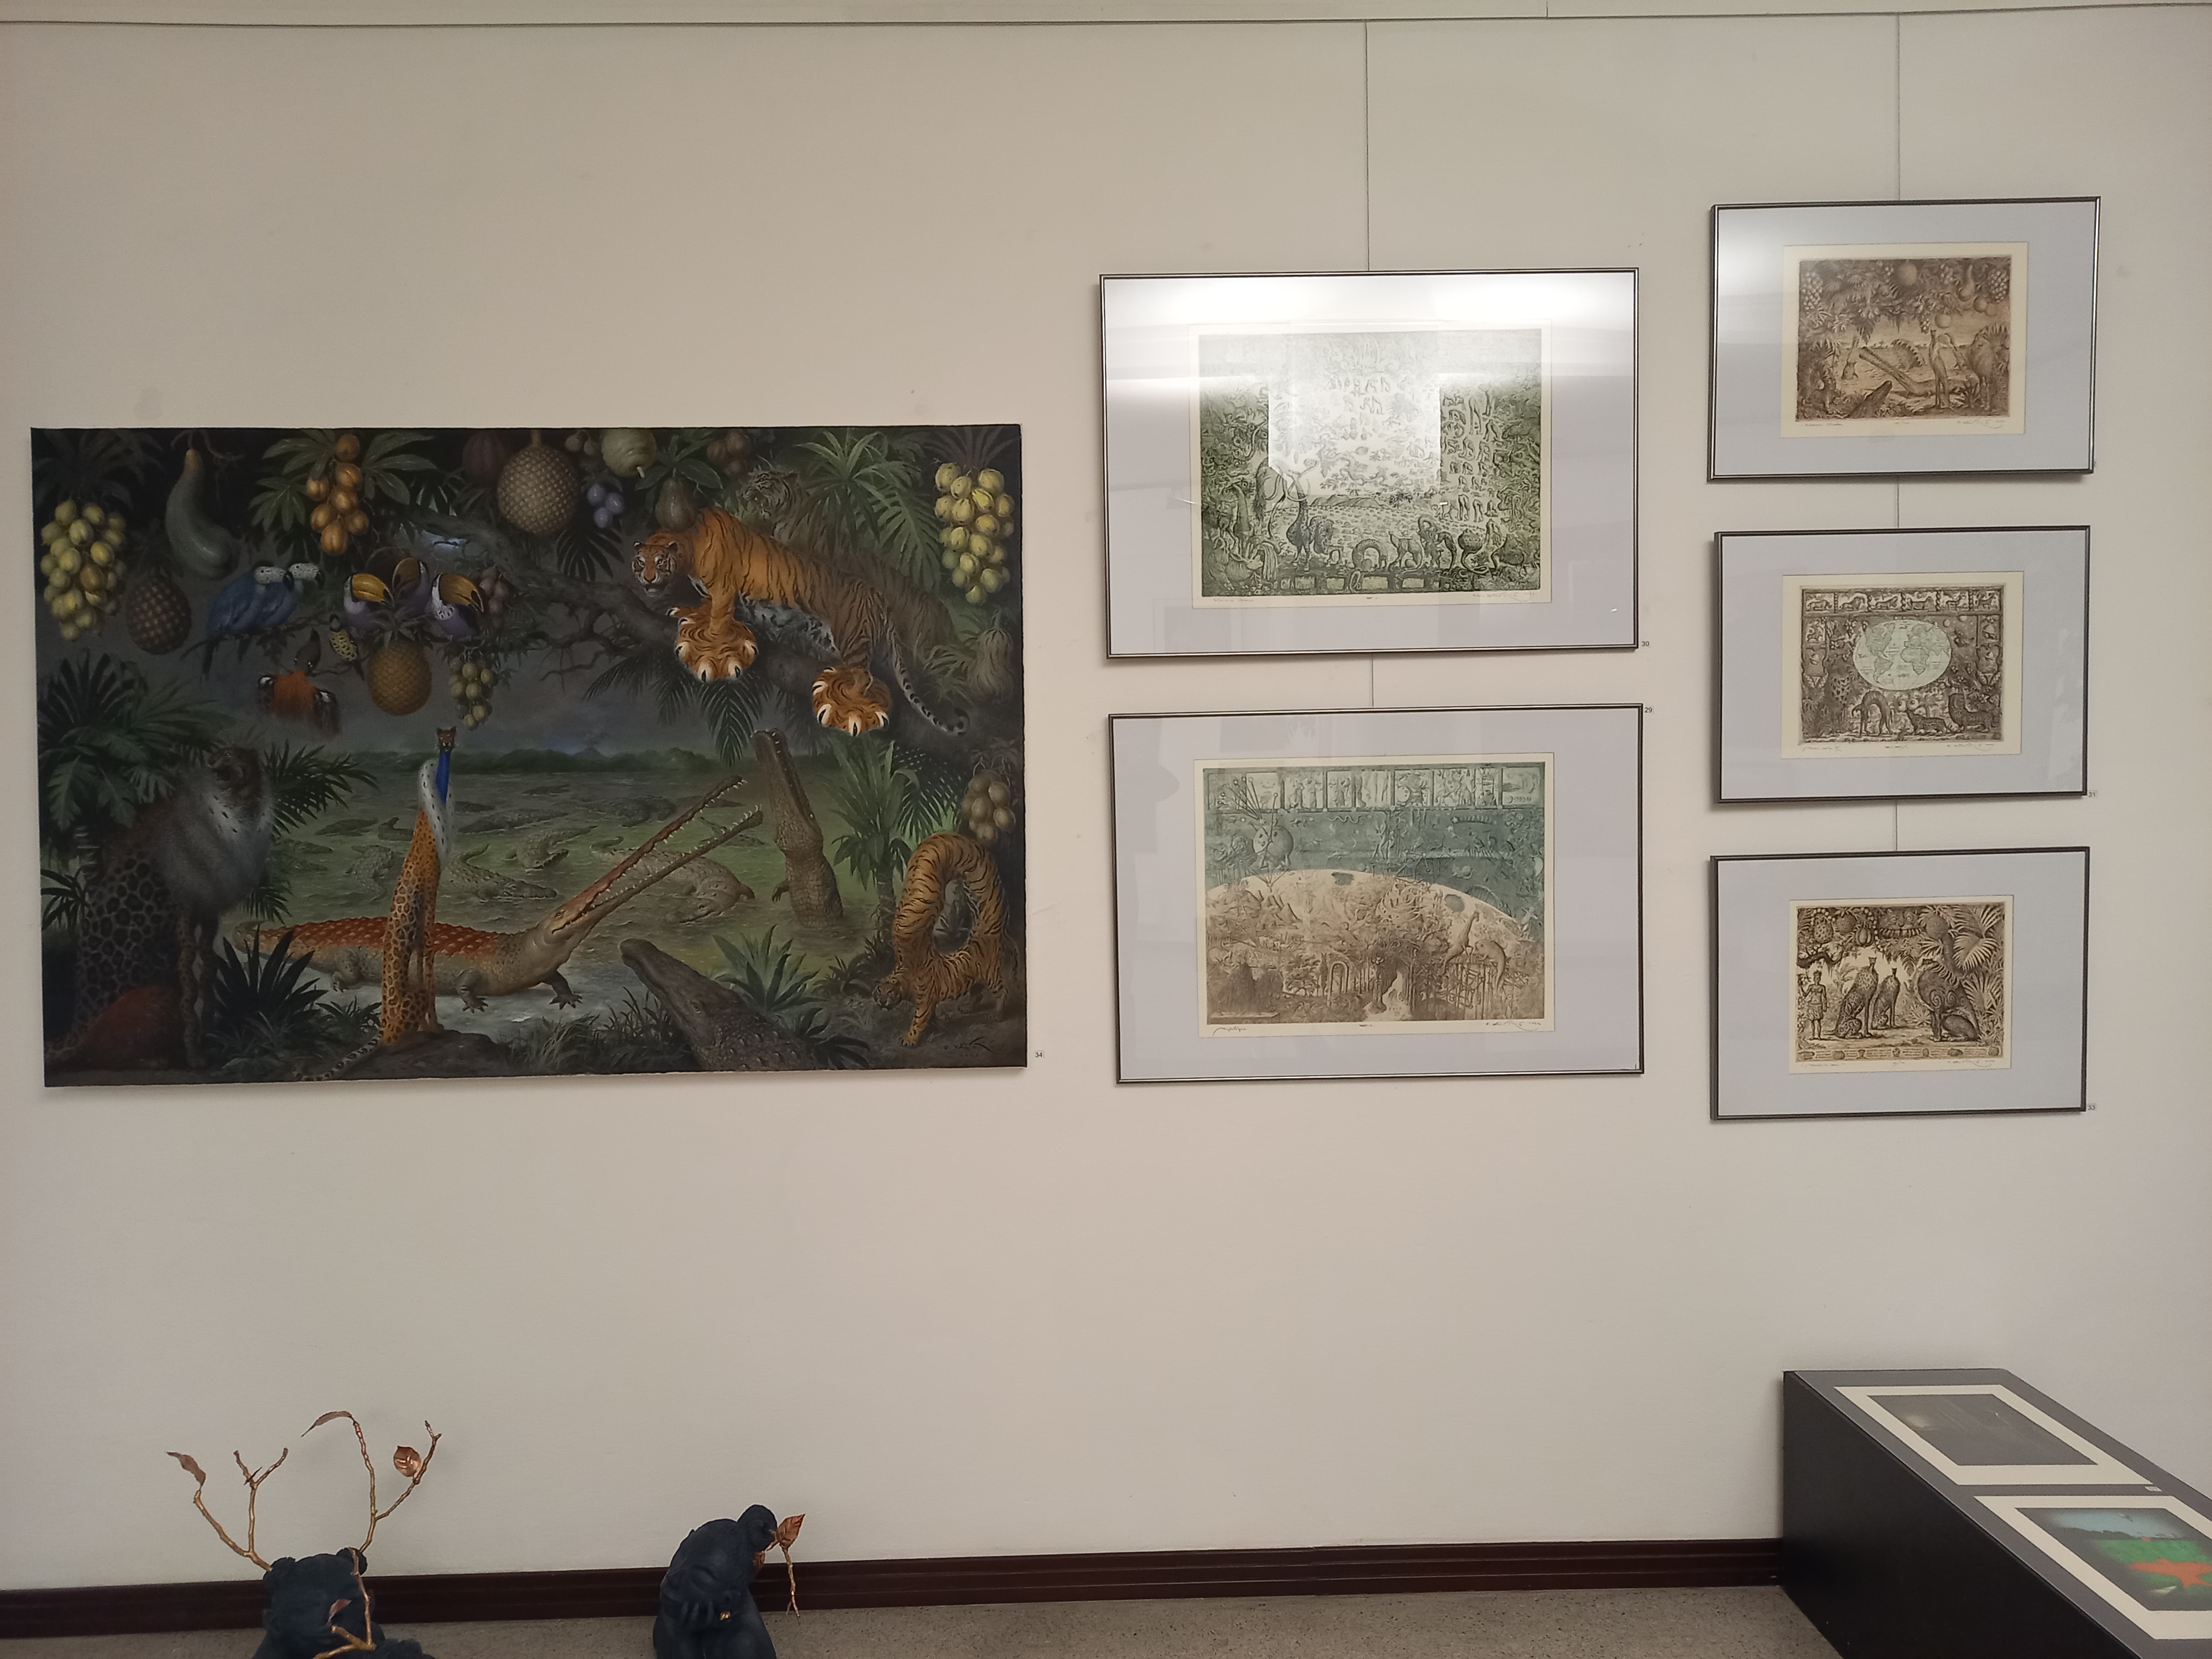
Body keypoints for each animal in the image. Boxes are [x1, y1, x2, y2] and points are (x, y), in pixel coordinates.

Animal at [631, 506, 960, 736]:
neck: (688, 545)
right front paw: (691, 615)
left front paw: (711, 648)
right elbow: (707, 609)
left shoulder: (724, 590)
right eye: (640, 562)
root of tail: (881, 598)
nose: (647, 579)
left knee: (866, 679)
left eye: (659, 562)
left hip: (851, 637)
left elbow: (718, 621)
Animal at [876, 832, 1007, 1045]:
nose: (881, 1001)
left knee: (1003, 992)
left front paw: (910, 1038)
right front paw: (935, 1026)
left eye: (888, 992)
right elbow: (931, 1016)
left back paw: (998, 1014)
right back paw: (968, 1007)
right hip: (976, 980)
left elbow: (919, 1020)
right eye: (879, 991)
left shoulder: (924, 999)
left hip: (991, 977)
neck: (904, 973)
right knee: (977, 993)